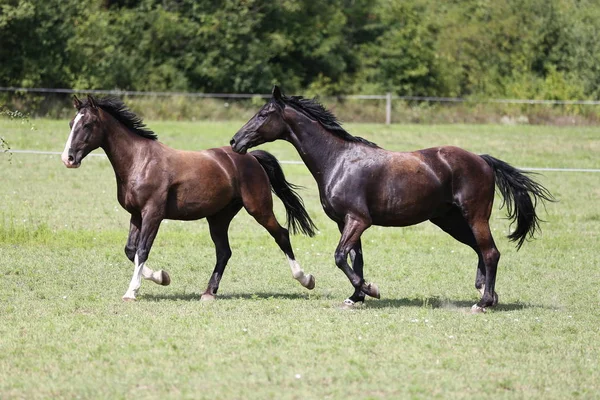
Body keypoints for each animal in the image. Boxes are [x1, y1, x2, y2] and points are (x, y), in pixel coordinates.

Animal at [59, 95, 318, 302]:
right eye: (71, 124)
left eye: (87, 124)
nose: (68, 159)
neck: (140, 161)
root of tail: (250, 156)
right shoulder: (136, 215)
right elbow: (131, 251)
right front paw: (162, 277)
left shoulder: (153, 214)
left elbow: (142, 250)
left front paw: (132, 292)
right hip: (218, 217)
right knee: (224, 251)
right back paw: (208, 293)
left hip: (258, 208)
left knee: (281, 234)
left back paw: (306, 279)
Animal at [230, 86, 552, 312]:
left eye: (263, 114)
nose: (235, 141)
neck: (338, 160)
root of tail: (483, 160)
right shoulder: (346, 223)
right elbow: (355, 259)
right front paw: (355, 297)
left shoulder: (358, 220)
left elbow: (340, 256)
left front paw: (371, 290)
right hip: (448, 220)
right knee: (480, 250)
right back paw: (487, 293)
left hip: (474, 216)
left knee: (490, 252)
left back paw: (483, 302)